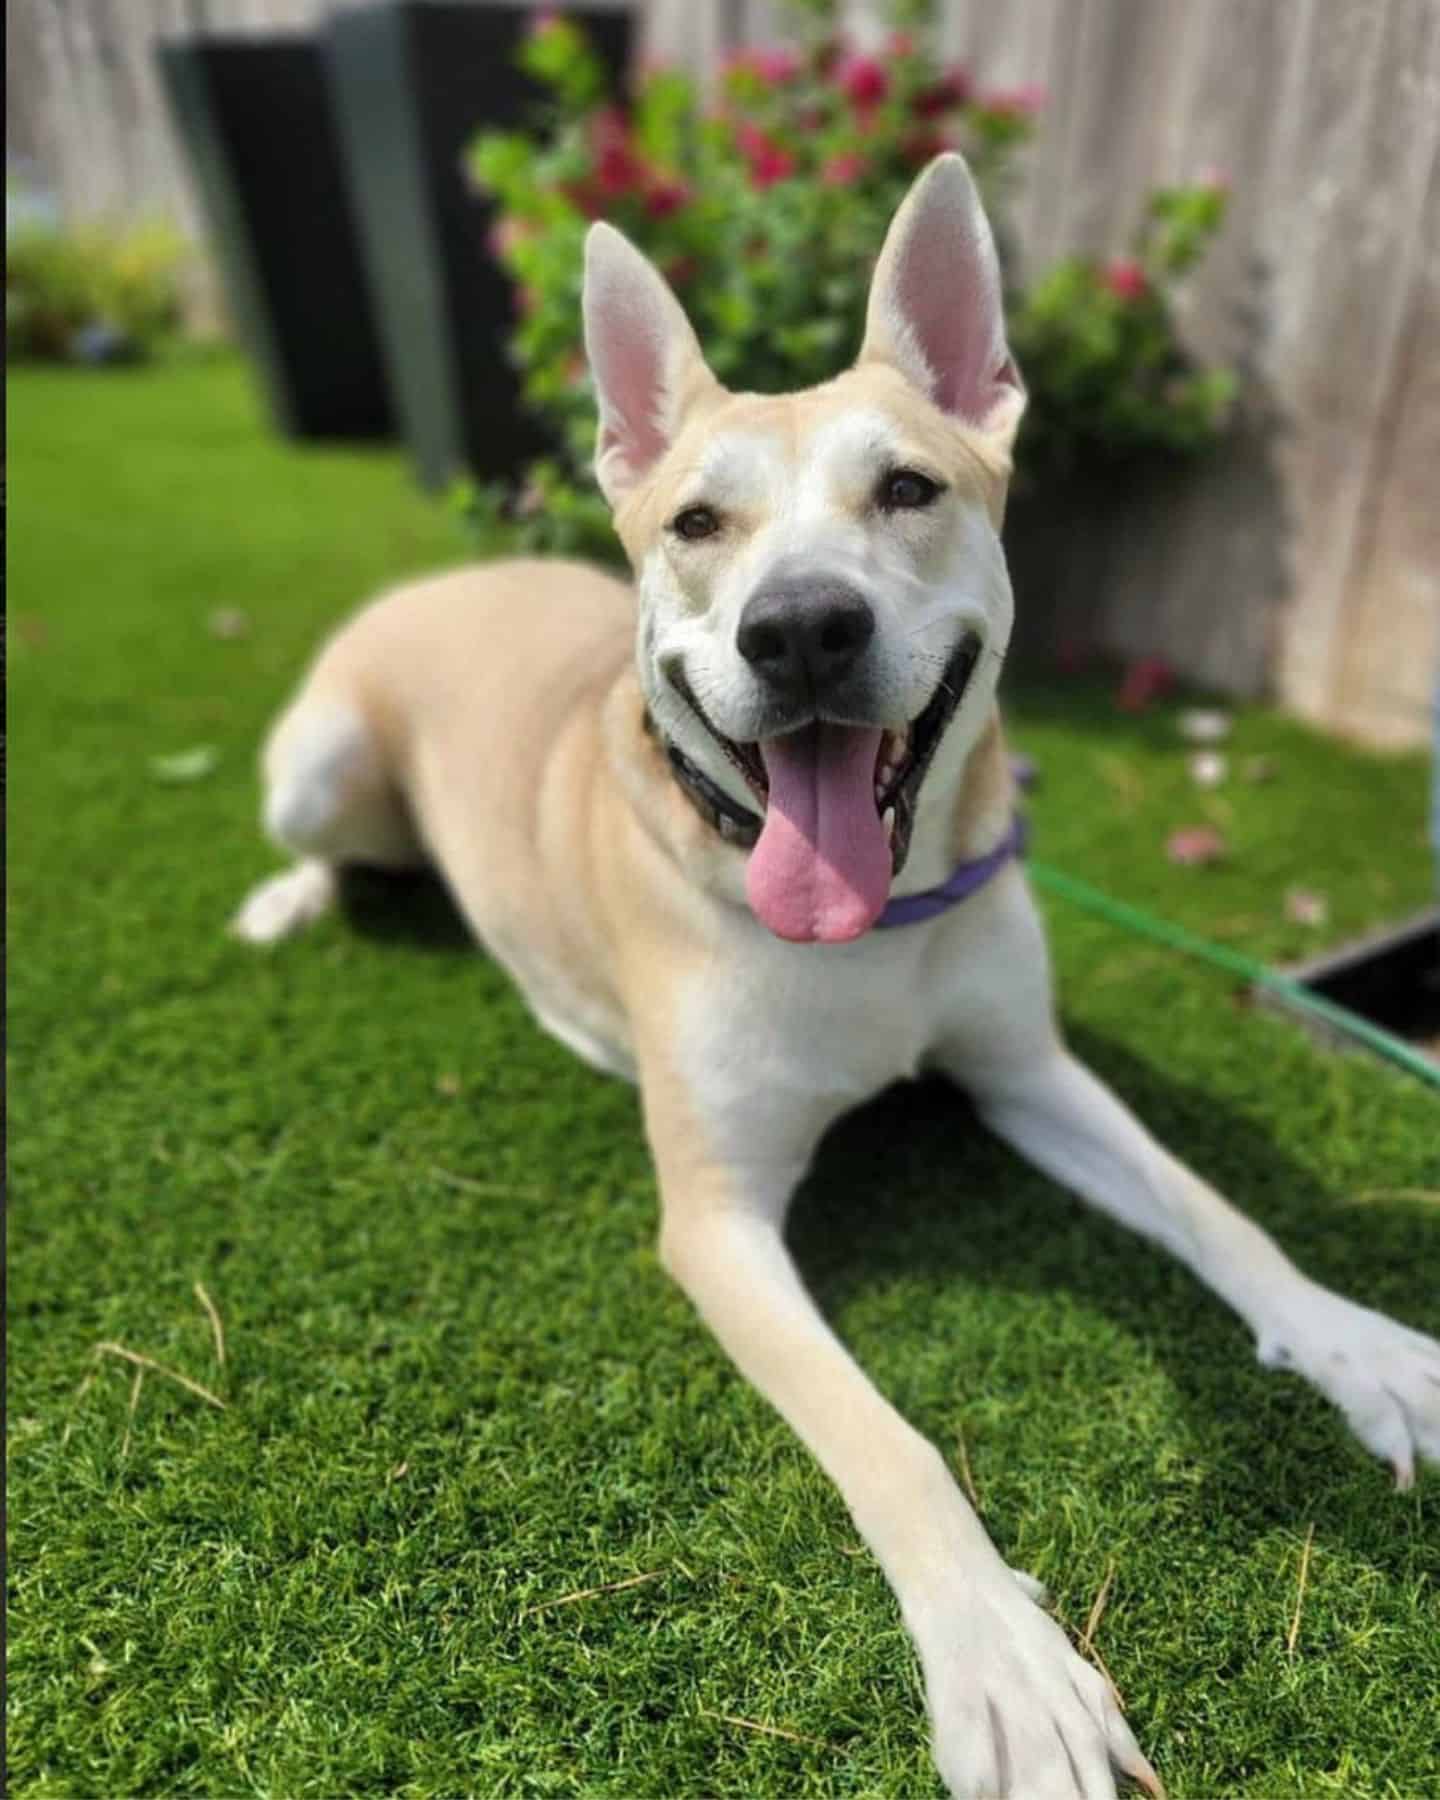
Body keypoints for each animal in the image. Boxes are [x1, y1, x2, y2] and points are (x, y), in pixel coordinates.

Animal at [235, 158, 1440, 1800]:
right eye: (697, 521)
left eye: (910, 490)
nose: (801, 627)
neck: (870, 930)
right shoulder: (719, 1225)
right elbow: (890, 1441)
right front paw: (1008, 1665)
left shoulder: (1029, 1071)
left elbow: (1216, 1209)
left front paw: (1357, 1343)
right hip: (324, 761)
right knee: (318, 840)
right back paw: (288, 899)